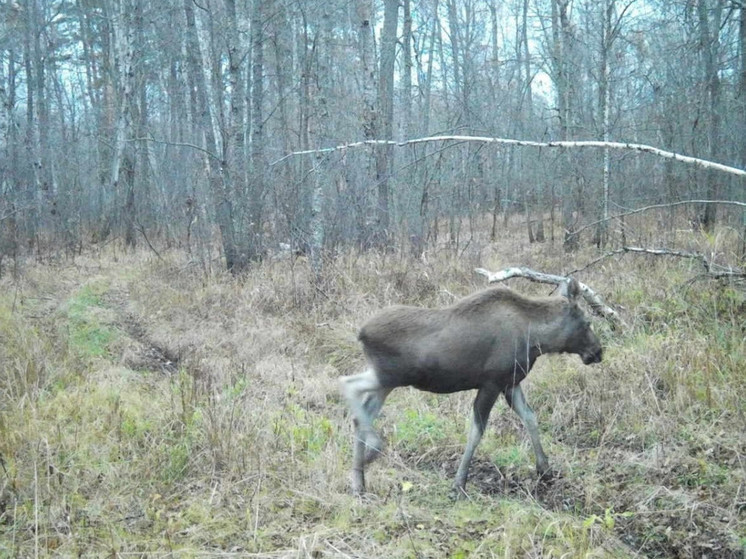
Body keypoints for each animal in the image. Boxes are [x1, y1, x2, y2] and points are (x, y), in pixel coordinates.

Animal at [340, 278, 600, 494]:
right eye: (587, 322)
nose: (598, 351)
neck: (537, 339)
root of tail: (360, 334)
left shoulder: (510, 383)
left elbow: (530, 417)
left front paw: (545, 469)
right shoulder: (491, 383)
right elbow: (477, 431)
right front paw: (459, 482)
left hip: (387, 381)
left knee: (362, 412)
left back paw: (359, 482)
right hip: (391, 375)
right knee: (348, 384)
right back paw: (372, 451)